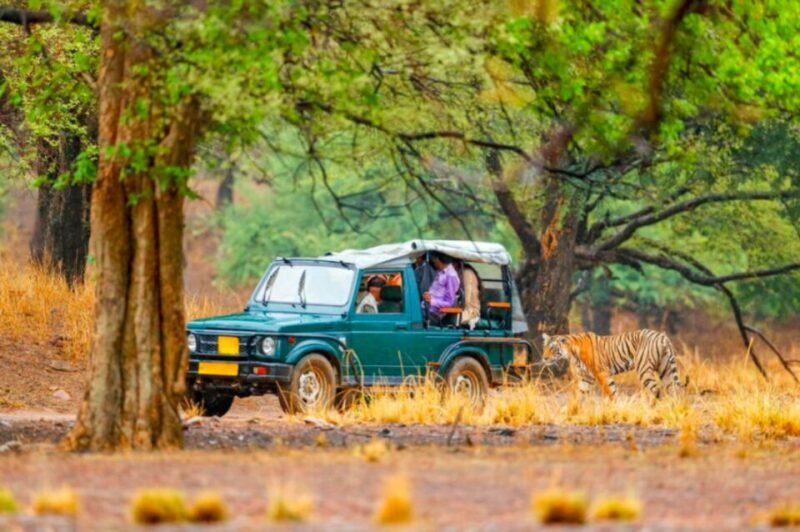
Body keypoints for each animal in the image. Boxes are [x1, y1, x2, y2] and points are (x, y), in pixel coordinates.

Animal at [542, 329, 683, 399]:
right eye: (545, 347)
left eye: (552, 348)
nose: (544, 358)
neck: (571, 353)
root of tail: (662, 336)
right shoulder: (586, 377)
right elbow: (580, 393)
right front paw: (571, 410)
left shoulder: (601, 373)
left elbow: (611, 391)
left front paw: (617, 408)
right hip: (666, 369)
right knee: (674, 389)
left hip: (644, 369)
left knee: (656, 389)